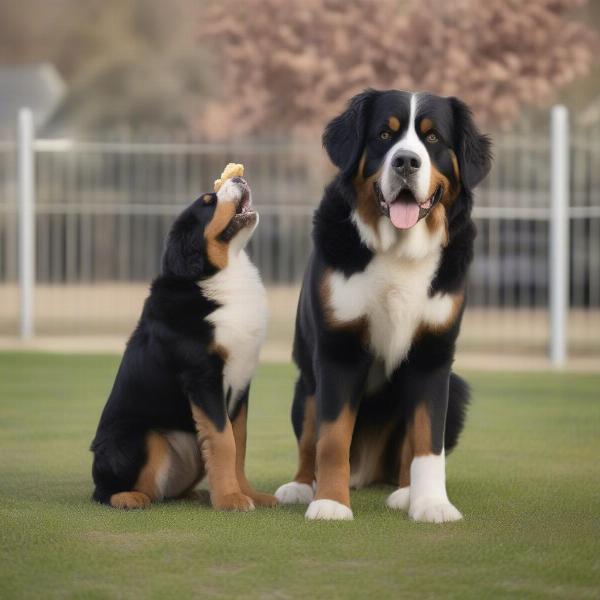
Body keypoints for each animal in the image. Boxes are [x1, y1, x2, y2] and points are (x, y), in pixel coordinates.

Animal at [91, 177, 276, 510]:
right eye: (208, 201)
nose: (239, 177)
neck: (219, 277)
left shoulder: (242, 382)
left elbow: (239, 443)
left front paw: (249, 494)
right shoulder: (203, 377)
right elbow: (224, 441)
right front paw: (230, 499)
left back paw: (194, 494)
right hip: (139, 436)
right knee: (105, 491)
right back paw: (130, 497)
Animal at [276, 88, 492, 520]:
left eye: (432, 138)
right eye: (383, 135)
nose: (406, 161)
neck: (399, 250)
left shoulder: (432, 354)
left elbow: (427, 441)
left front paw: (431, 504)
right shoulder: (338, 349)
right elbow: (331, 438)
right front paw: (330, 503)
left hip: (457, 389)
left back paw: (405, 492)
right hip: (304, 383)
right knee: (309, 436)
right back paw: (302, 486)